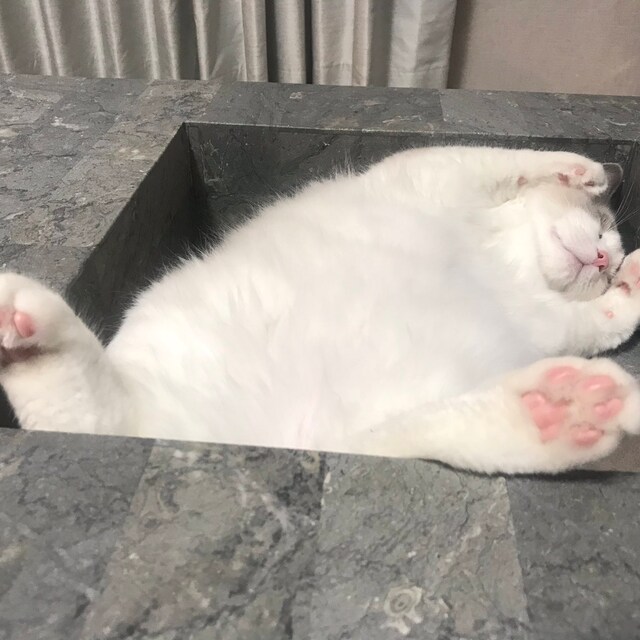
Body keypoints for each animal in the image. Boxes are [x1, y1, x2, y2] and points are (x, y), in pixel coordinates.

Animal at [1, 146, 640, 474]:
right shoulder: (440, 170)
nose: (605, 259)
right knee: (87, 422)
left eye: (609, 252)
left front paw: (632, 283)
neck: (500, 261)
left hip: (386, 426)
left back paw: (565, 408)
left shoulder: (550, 324)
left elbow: (604, 322)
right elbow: (516, 157)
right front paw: (583, 171)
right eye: (603, 226)